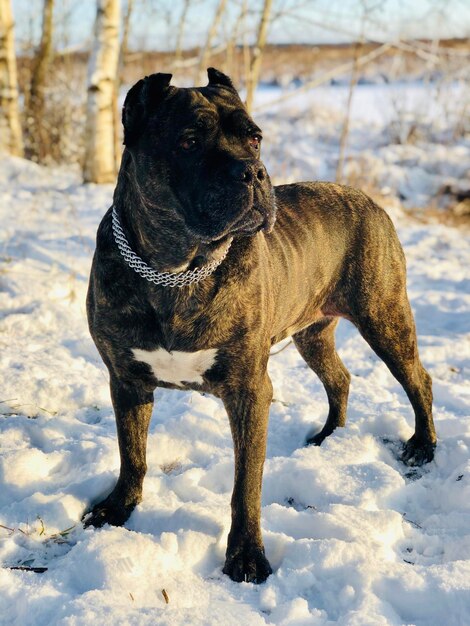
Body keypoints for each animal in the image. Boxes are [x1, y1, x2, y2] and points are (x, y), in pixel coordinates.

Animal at [85, 69, 436, 584]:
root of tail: (368, 198)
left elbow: (245, 484)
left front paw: (246, 555)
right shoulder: (127, 381)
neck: (176, 271)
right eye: (189, 141)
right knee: (340, 378)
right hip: (314, 334)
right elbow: (133, 455)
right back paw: (328, 437)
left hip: (385, 318)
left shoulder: (249, 389)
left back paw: (423, 446)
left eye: (255, 138)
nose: (253, 171)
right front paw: (118, 508)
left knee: (418, 380)